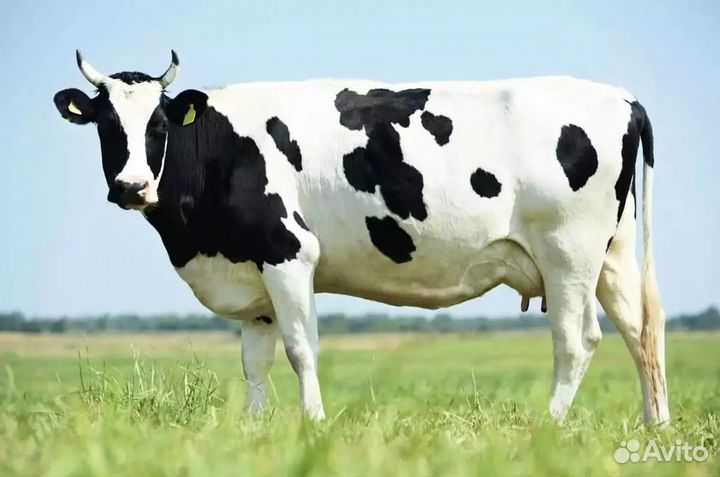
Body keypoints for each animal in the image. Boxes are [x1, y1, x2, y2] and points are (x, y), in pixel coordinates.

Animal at [54, 51, 669, 424]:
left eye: (157, 125)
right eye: (106, 125)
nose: (131, 187)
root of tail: (622, 98)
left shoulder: (287, 255)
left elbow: (301, 349)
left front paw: (313, 425)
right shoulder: (252, 275)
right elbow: (255, 362)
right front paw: (252, 430)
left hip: (568, 253)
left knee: (577, 339)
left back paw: (547, 426)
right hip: (611, 254)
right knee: (641, 331)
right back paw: (655, 426)